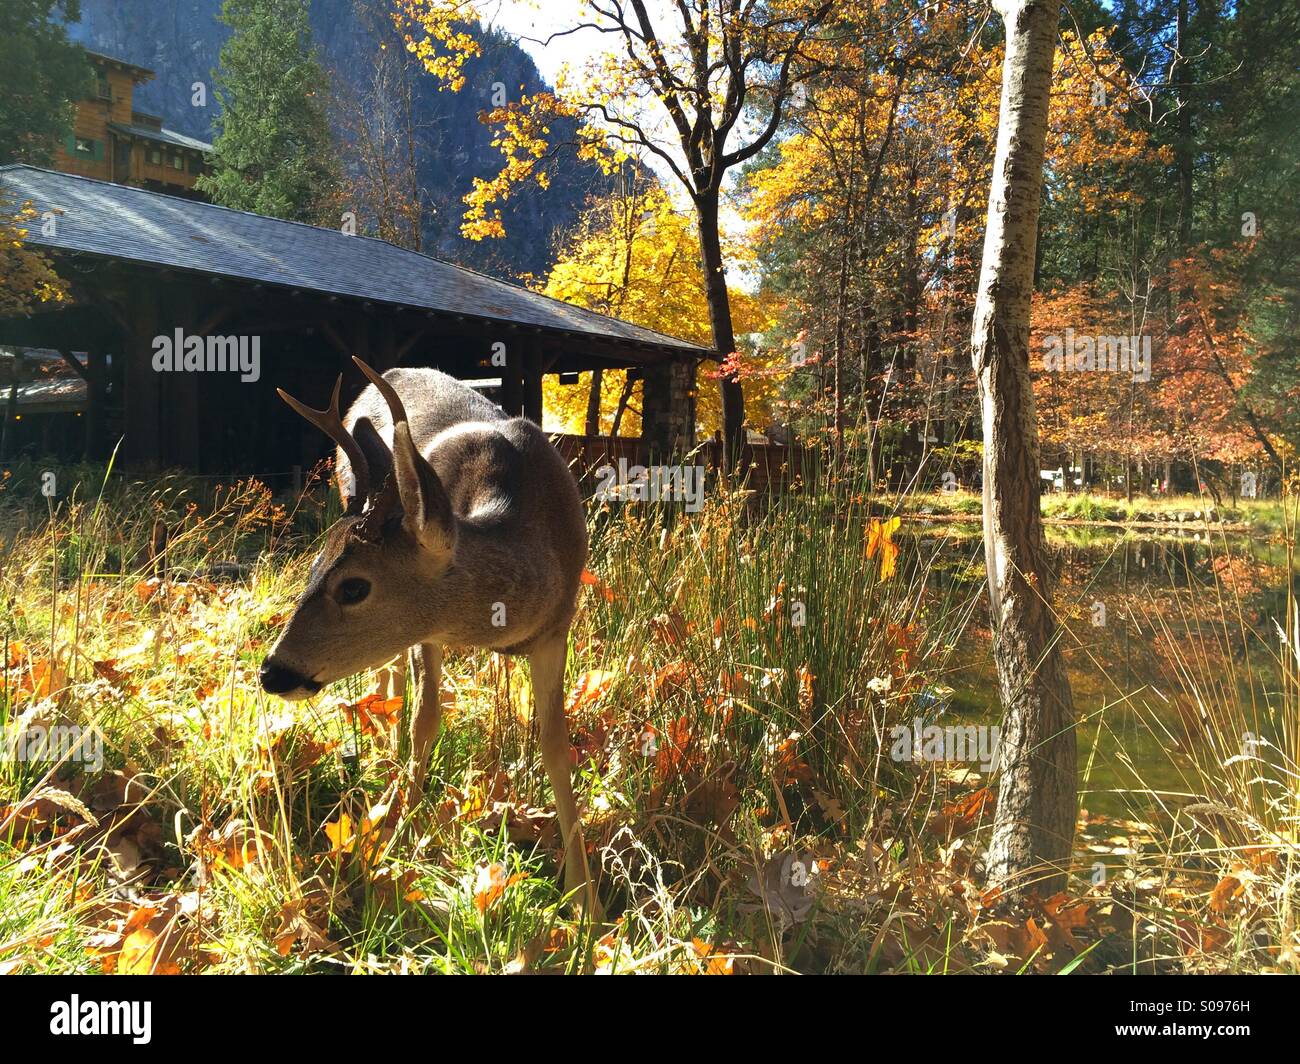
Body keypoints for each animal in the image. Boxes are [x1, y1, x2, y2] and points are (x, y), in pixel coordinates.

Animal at [259, 356, 596, 914]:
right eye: (312, 569)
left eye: (354, 586)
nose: (272, 672)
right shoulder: (427, 632)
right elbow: (426, 720)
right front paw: (395, 839)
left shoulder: (556, 628)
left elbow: (554, 743)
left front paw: (585, 902)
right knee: (393, 674)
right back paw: (385, 749)